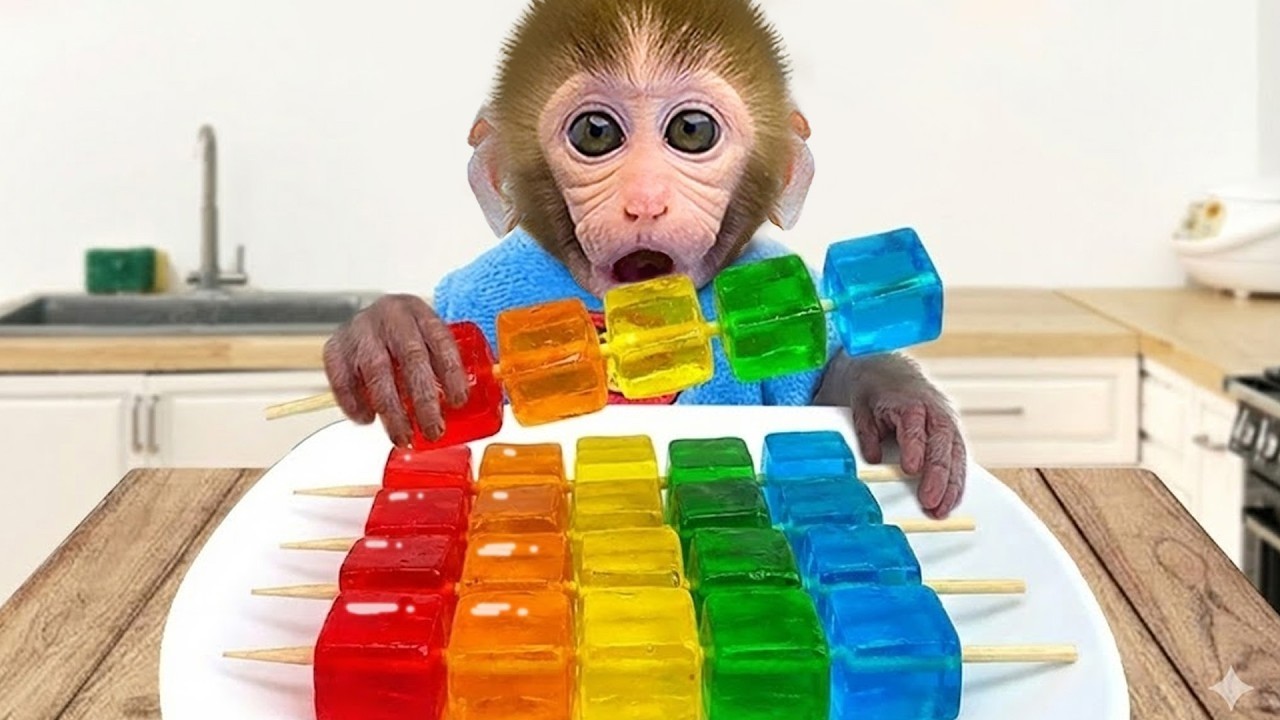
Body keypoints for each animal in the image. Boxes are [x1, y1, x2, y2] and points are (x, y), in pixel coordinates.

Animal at [322, 0, 968, 519]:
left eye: (691, 130)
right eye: (595, 133)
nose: (646, 200)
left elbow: (816, 388)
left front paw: (898, 398)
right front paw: (395, 341)